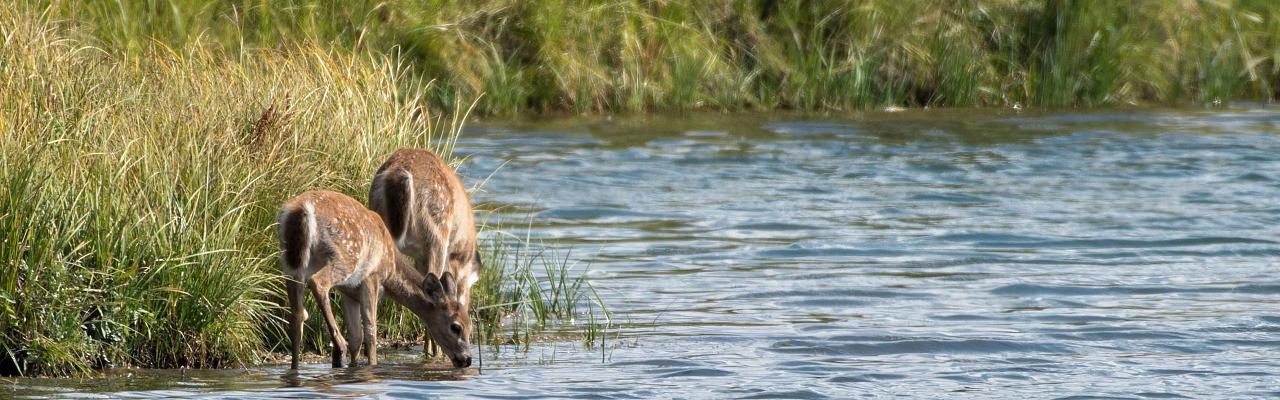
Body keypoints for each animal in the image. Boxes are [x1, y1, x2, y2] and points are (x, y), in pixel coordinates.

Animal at [277, 191, 473, 369]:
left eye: (470, 325)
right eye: (456, 327)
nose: (467, 360)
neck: (391, 270)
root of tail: (302, 210)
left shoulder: (348, 291)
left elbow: (356, 336)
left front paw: (355, 367)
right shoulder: (371, 278)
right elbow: (371, 333)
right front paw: (371, 366)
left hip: (291, 264)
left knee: (297, 318)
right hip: (345, 256)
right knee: (318, 282)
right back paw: (339, 345)